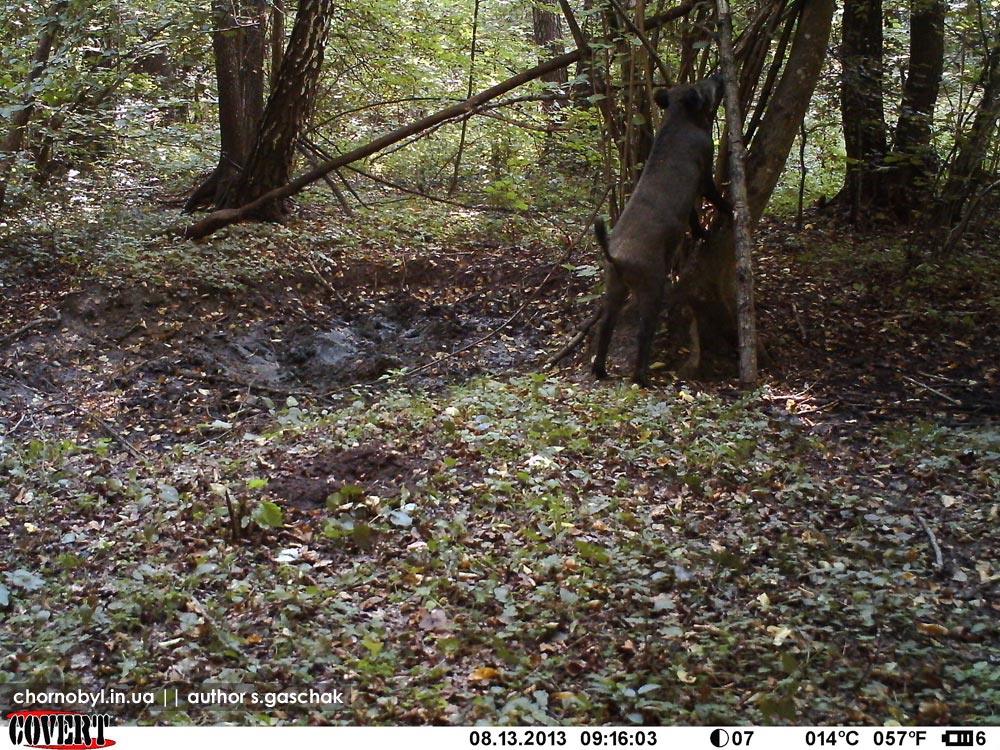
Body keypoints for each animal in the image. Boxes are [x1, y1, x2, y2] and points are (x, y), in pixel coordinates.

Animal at [588, 75, 732, 388]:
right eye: (702, 86)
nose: (719, 77)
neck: (680, 117)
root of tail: (616, 256)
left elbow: (693, 217)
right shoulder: (705, 163)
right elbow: (713, 195)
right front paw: (730, 212)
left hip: (613, 285)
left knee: (605, 326)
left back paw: (601, 372)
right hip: (652, 284)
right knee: (644, 331)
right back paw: (642, 379)